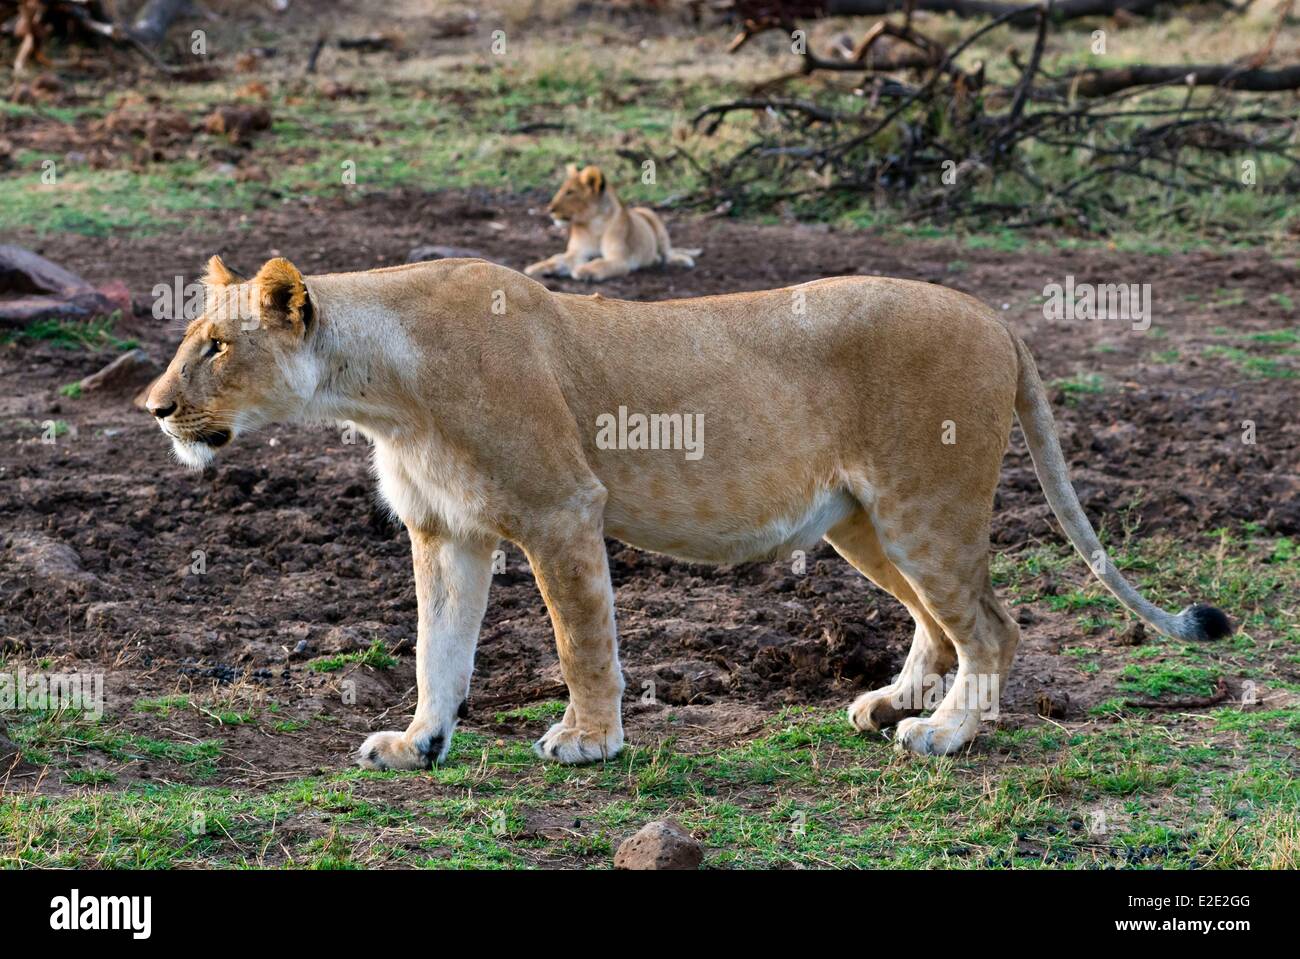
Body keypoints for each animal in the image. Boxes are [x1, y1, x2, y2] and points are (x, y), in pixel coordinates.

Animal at [147, 254, 1231, 769]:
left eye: (216, 346)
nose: (153, 408)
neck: (379, 386)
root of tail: (995, 315)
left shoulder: (559, 507)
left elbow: (580, 639)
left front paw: (588, 740)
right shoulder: (445, 529)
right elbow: (434, 649)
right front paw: (420, 743)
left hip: (924, 501)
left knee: (993, 625)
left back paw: (945, 733)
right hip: (863, 517)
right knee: (939, 618)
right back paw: (896, 701)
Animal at [523, 164, 699, 282]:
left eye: (570, 192)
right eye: (563, 189)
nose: (549, 209)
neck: (593, 224)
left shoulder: (620, 260)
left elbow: (601, 264)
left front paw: (584, 270)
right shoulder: (577, 253)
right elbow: (556, 259)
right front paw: (535, 268)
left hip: (653, 217)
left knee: (668, 253)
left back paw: (682, 260)